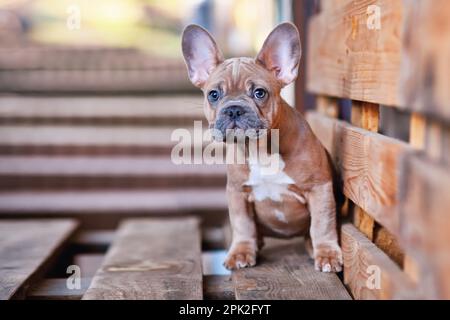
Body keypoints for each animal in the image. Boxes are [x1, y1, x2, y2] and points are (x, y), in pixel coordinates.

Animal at [181, 23, 342, 272]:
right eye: (213, 95)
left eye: (259, 93)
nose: (234, 109)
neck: (259, 150)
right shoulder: (237, 193)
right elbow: (242, 224)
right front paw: (241, 251)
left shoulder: (319, 188)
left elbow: (322, 224)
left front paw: (327, 254)